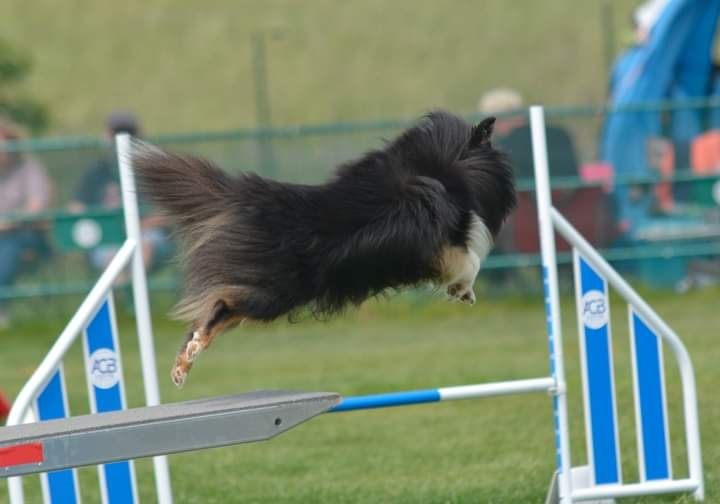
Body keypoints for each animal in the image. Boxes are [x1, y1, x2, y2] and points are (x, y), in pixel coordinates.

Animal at [131, 111, 516, 386]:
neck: (442, 165)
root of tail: (254, 198)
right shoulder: (442, 243)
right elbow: (470, 261)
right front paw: (463, 290)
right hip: (273, 292)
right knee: (220, 307)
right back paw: (192, 351)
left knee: (212, 313)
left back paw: (182, 365)